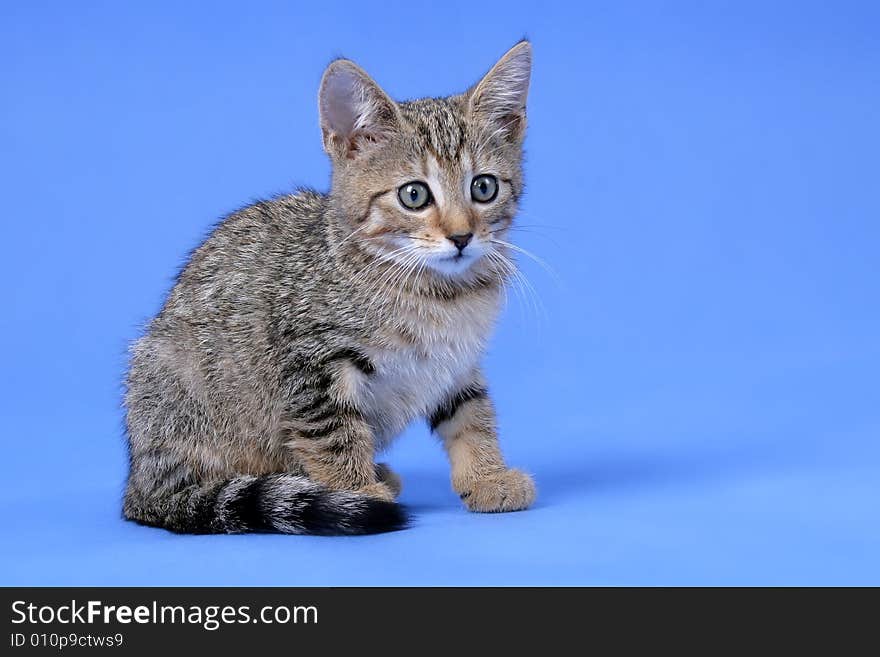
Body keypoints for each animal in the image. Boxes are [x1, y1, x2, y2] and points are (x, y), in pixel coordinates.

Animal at [124, 39, 536, 532]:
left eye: (484, 188)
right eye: (414, 195)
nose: (461, 236)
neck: (436, 291)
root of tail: (137, 485)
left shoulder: (457, 363)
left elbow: (470, 414)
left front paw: (487, 476)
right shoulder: (310, 363)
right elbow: (333, 431)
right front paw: (356, 491)